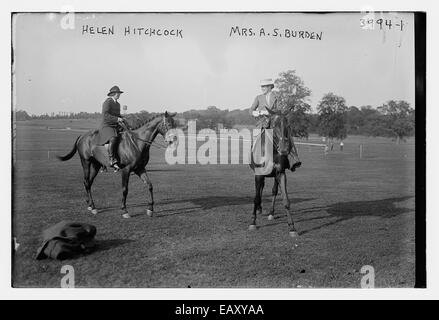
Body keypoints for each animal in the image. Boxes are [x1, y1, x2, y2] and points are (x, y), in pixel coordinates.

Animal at [249, 107, 300, 238]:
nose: (284, 149)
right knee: (260, 191)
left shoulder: (280, 173)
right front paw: (253, 222)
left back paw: (271, 213)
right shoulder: (258, 175)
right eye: (273, 125)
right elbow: (256, 197)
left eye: (288, 125)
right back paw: (259, 209)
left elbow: (285, 200)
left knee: (274, 191)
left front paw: (292, 228)